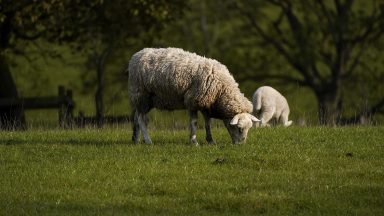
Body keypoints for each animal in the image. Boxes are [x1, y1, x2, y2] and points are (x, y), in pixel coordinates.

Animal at [127, 47, 260, 145]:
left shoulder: (206, 103)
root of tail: (135, 56)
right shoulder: (192, 100)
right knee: (141, 119)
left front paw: (211, 141)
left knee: (136, 116)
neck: (221, 90)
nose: (241, 145)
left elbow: (208, 123)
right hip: (142, 94)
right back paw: (148, 140)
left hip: (145, 99)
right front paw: (194, 141)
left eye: (249, 128)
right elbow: (194, 122)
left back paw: (136, 139)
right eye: (239, 128)